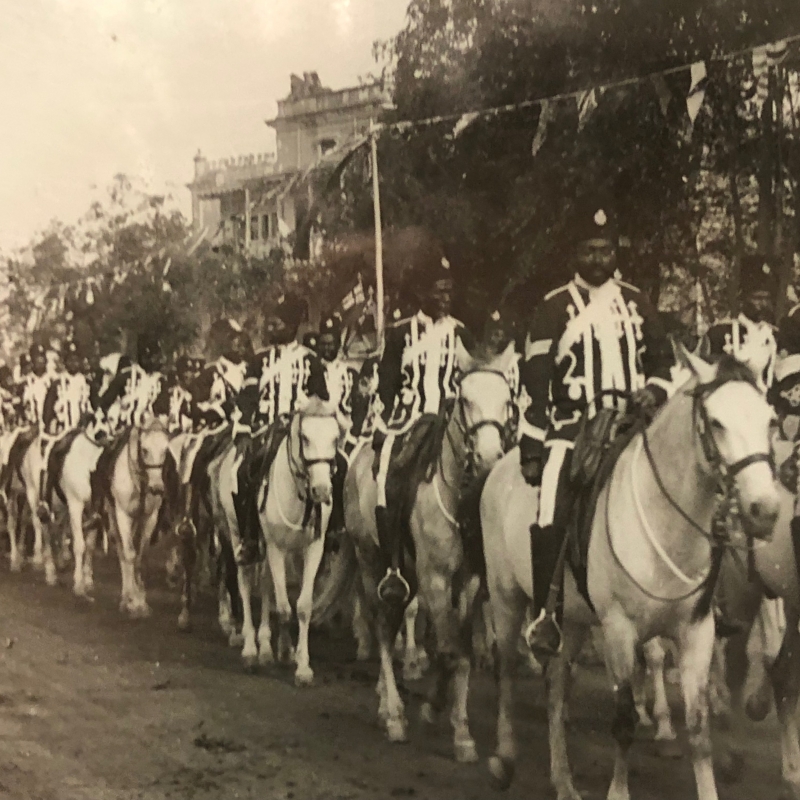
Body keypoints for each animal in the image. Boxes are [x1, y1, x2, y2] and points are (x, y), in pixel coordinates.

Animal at [482, 348, 780, 800]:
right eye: (716, 422)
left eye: (768, 419)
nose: (766, 510)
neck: (666, 519)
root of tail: (498, 470)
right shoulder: (619, 630)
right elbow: (622, 722)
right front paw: (618, 790)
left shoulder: (697, 632)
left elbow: (698, 731)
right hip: (506, 598)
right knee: (507, 671)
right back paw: (504, 757)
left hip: (570, 621)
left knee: (556, 689)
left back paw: (563, 779)